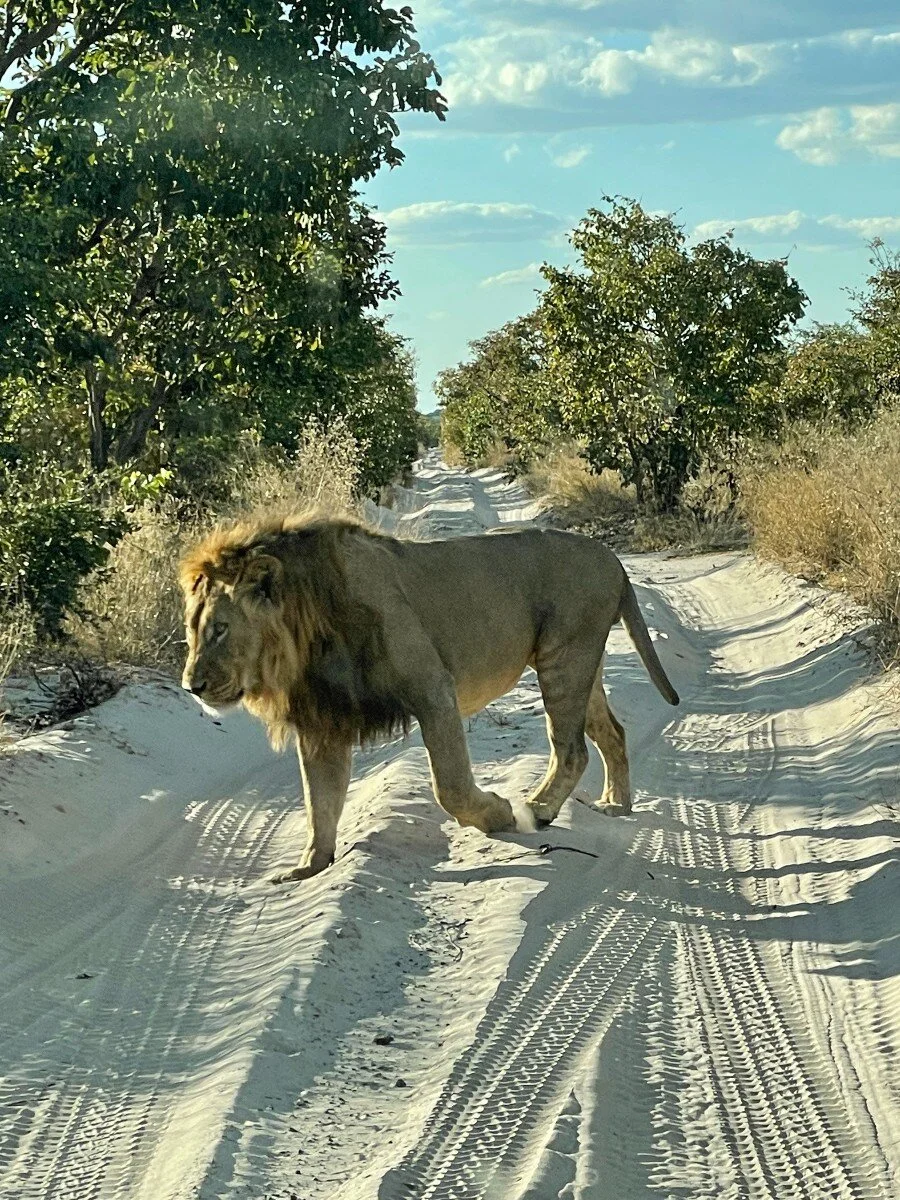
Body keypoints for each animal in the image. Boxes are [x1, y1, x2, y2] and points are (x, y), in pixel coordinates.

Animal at [179, 513, 678, 883]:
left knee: (572, 748)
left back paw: (536, 810)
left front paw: (498, 814)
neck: (305, 634)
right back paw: (616, 804)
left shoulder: (433, 687)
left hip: (564, 658)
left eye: (220, 629)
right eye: (191, 629)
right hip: (581, 666)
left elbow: (449, 786)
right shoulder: (324, 720)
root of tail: (612, 558)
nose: (190, 686)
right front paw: (309, 867)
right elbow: (319, 800)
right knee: (611, 732)